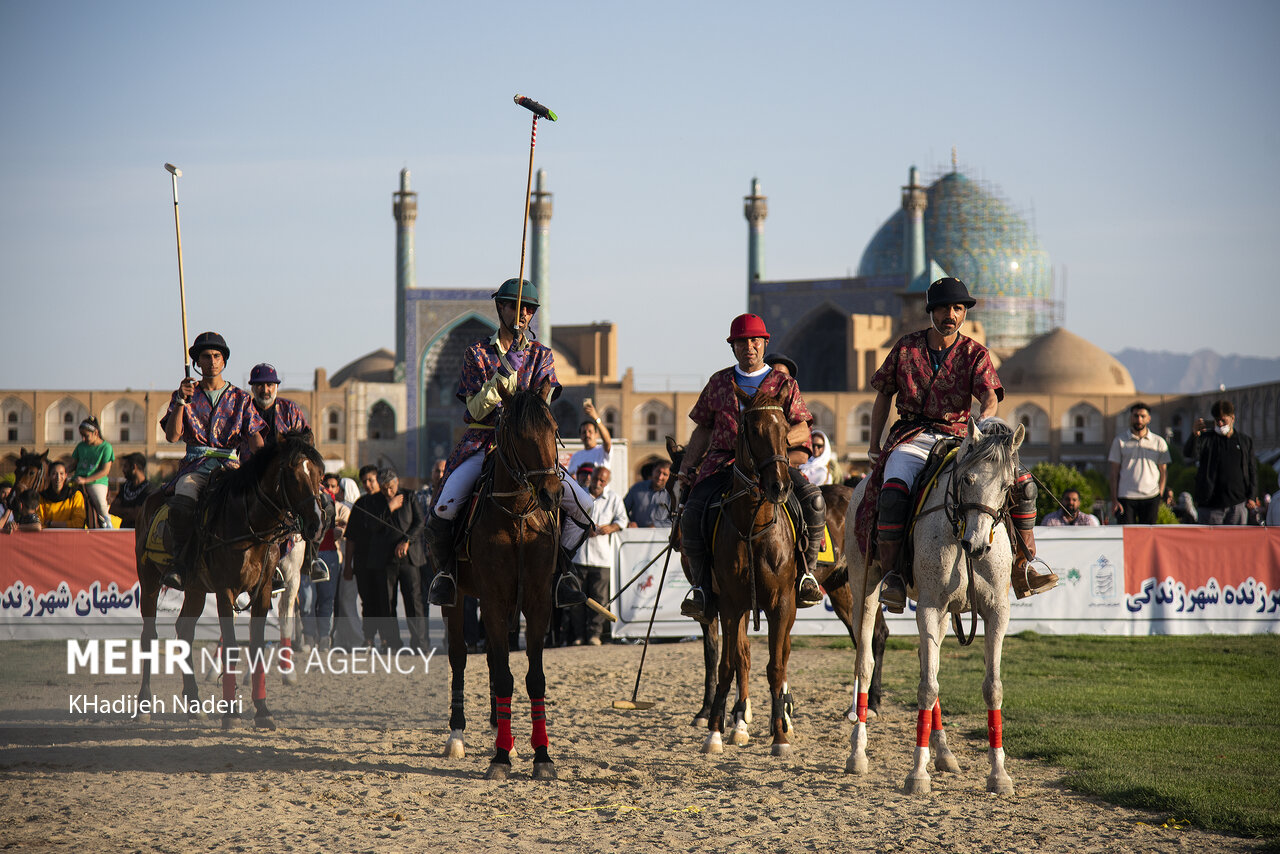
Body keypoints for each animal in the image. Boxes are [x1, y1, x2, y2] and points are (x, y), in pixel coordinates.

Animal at [135, 435, 330, 727]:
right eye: (293, 475)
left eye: (319, 474)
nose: (317, 523)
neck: (249, 525)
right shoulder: (226, 590)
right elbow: (231, 645)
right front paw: (230, 713)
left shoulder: (265, 590)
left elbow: (258, 643)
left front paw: (262, 709)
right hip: (149, 578)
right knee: (149, 635)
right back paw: (144, 705)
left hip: (195, 588)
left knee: (185, 631)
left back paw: (194, 702)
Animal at [442, 381, 563, 783]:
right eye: (519, 435)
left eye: (554, 429)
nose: (552, 493)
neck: (517, 517)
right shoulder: (492, 598)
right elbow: (504, 675)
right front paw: (499, 759)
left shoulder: (538, 601)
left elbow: (533, 677)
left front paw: (541, 756)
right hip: (456, 598)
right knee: (460, 656)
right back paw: (457, 735)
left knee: (496, 662)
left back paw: (502, 732)